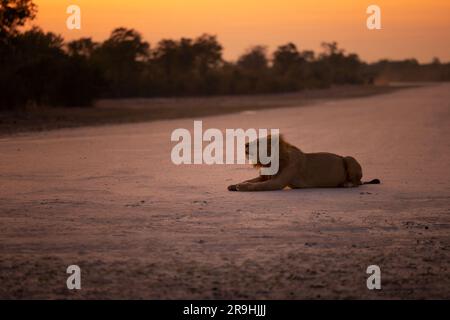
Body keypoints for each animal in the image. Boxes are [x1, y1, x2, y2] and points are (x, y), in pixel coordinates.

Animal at [229, 134, 380, 191]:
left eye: (258, 142)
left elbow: (258, 185)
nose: (245, 144)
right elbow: (252, 180)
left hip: (348, 158)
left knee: (358, 182)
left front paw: (242, 186)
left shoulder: (277, 182)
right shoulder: (264, 176)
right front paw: (235, 185)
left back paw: (347, 184)